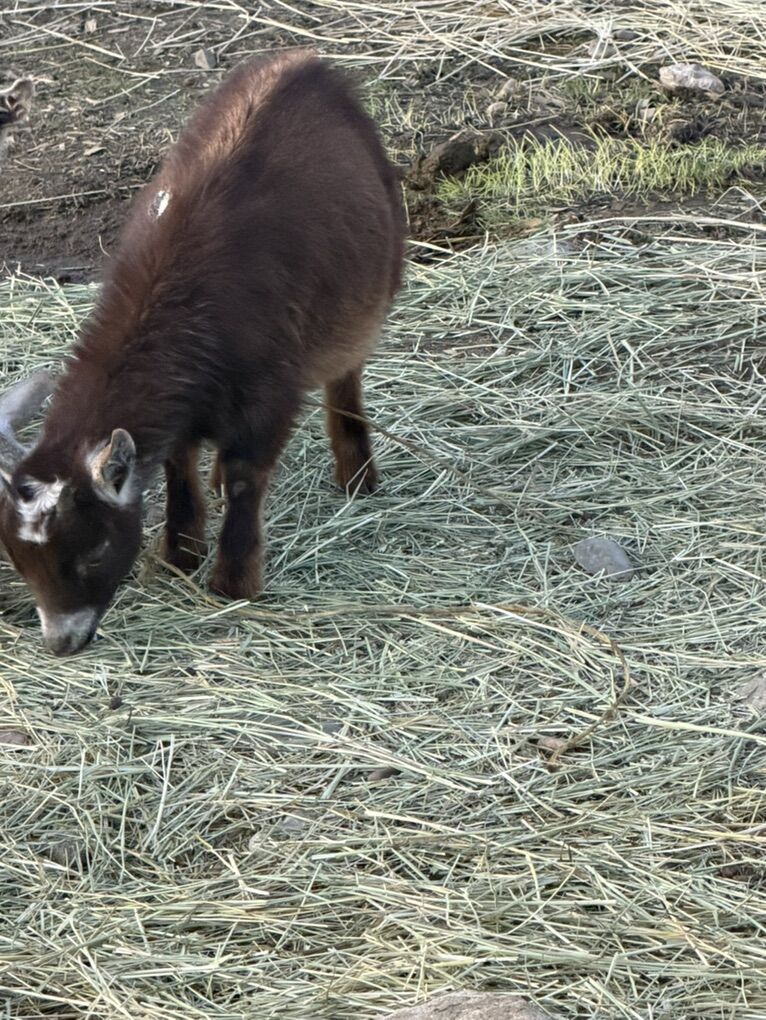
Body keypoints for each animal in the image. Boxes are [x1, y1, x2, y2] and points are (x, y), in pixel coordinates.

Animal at [0, 51, 404, 656]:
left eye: (94, 552)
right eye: (20, 559)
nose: (62, 642)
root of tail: (303, 61)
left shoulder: (269, 393)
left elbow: (244, 474)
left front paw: (232, 581)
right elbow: (177, 463)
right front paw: (180, 554)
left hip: (374, 282)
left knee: (346, 376)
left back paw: (357, 475)